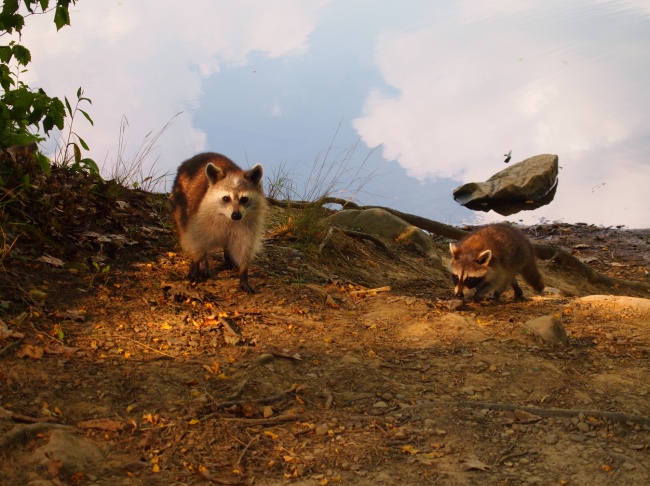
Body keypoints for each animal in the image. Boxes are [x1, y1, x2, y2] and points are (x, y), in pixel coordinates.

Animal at [170, 152, 267, 293]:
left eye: (244, 199)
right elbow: (197, 241)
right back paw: (204, 262)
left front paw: (244, 273)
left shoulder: (249, 225)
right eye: (226, 198)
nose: (236, 215)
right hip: (180, 204)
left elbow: (245, 248)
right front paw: (196, 263)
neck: (228, 218)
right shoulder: (199, 219)